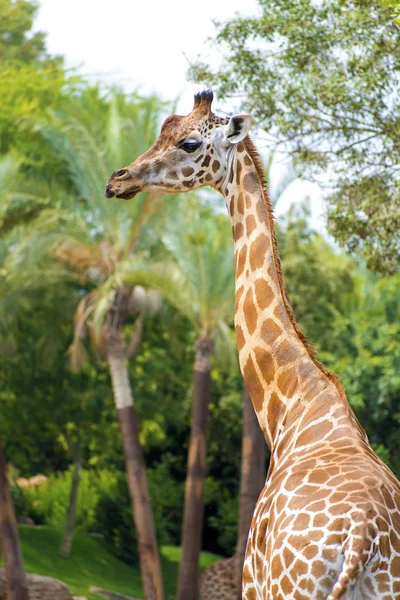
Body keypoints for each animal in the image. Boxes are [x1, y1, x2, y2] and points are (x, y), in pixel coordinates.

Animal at [105, 90, 400, 600]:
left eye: (187, 143)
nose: (118, 179)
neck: (292, 408)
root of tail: (364, 537)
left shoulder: (252, 581)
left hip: (289, 587)